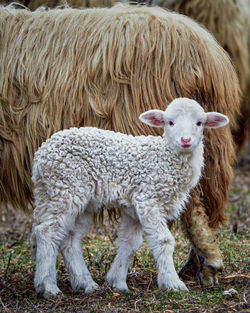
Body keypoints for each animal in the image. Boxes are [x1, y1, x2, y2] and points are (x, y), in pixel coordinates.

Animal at [30, 97, 229, 298]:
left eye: (199, 123)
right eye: (170, 122)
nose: (186, 140)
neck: (166, 157)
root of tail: (40, 157)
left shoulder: (135, 206)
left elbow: (130, 243)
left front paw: (117, 282)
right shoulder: (148, 198)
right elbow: (163, 240)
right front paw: (172, 283)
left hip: (72, 199)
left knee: (69, 238)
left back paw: (85, 283)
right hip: (66, 189)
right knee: (47, 231)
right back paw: (48, 287)